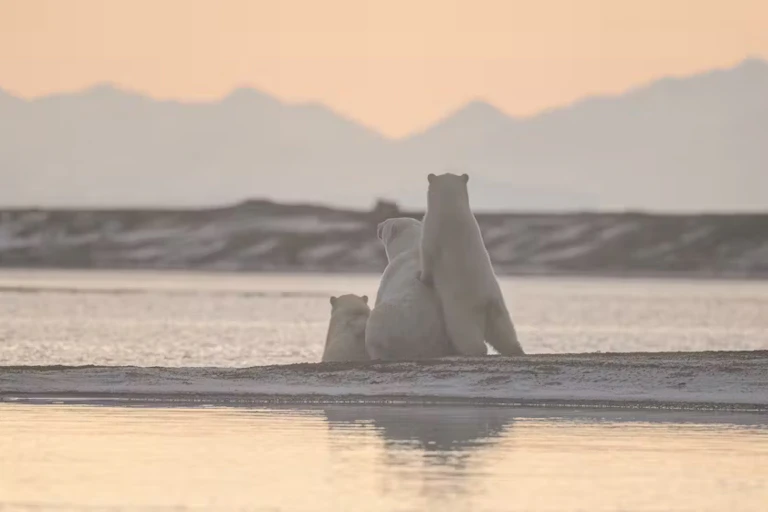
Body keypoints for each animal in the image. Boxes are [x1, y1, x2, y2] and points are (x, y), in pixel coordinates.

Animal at [419, 172, 525, 357]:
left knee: (466, 335)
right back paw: (516, 350)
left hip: (462, 310)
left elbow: (427, 254)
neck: (451, 207)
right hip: (498, 308)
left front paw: (422, 277)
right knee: (504, 333)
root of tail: (486, 302)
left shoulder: (432, 229)